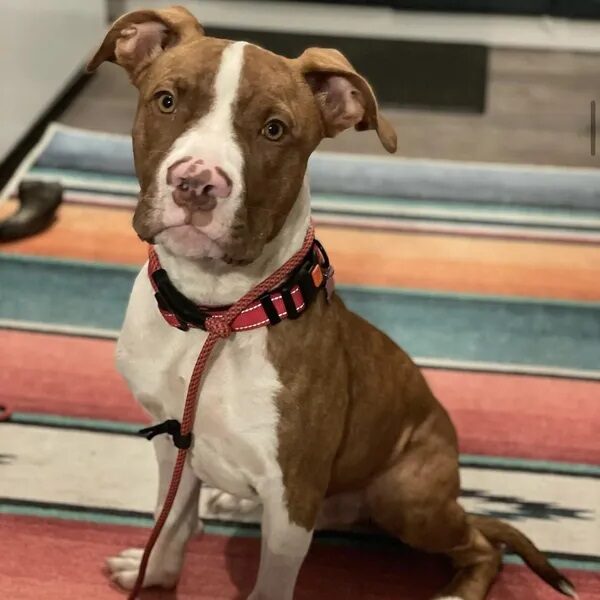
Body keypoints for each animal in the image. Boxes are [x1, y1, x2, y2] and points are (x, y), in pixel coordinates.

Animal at [86, 5, 576, 600]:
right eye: (166, 101)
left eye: (274, 130)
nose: (196, 183)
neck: (214, 317)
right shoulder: (171, 444)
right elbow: (172, 522)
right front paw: (154, 574)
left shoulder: (294, 491)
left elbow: (269, 582)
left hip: (403, 493)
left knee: (483, 544)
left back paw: (458, 589)